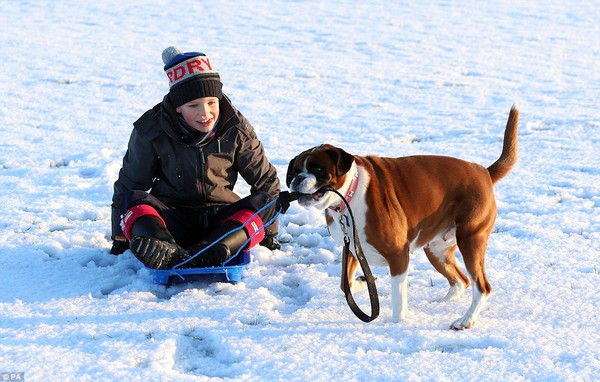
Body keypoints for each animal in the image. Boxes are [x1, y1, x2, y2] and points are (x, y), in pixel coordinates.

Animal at [288, 104, 516, 328]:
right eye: (295, 171)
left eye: (318, 169)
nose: (297, 179)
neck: (350, 195)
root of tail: (484, 172)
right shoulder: (352, 248)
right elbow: (346, 284)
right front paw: (362, 283)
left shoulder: (397, 255)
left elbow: (398, 298)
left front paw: (396, 324)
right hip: (436, 249)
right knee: (462, 280)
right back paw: (444, 302)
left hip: (470, 240)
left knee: (482, 286)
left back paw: (466, 320)